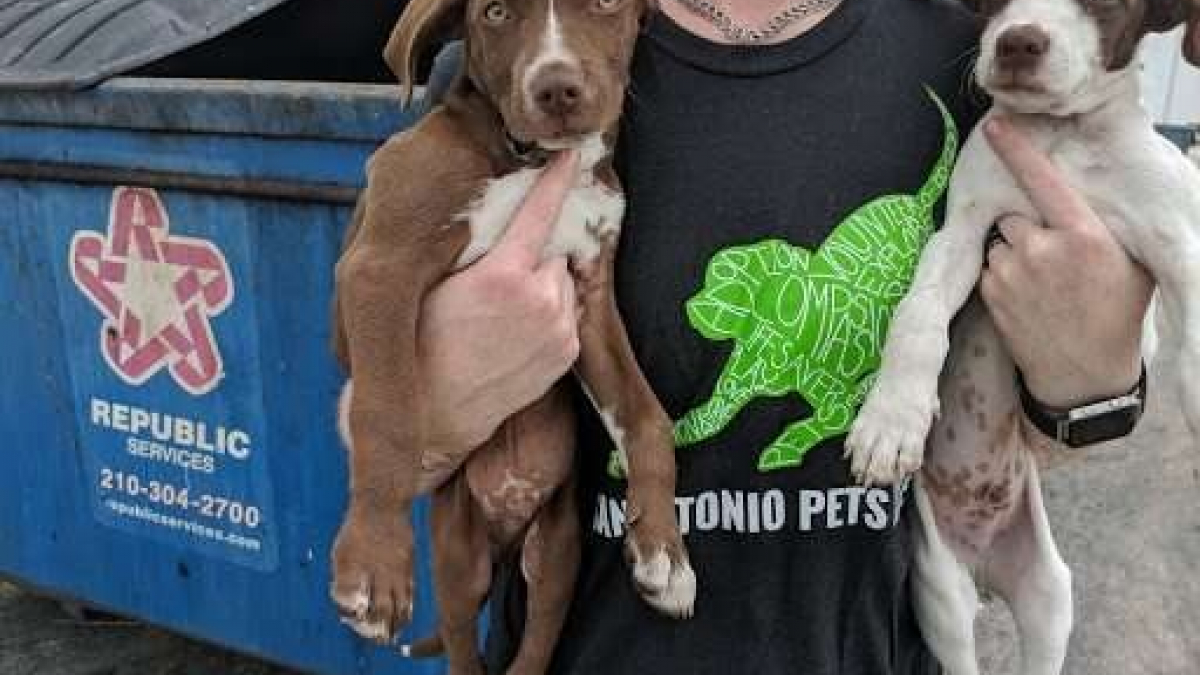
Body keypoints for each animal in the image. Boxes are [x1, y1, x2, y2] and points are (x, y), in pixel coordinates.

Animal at [333, 1, 700, 667]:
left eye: (606, 6)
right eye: (497, 12)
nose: (555, 88)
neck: (537, 164)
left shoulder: (590, 305)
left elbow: (645, 416)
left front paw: (665, 552)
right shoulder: (377, 269)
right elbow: (387, 411)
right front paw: (374, 564)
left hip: (554, 556)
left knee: (532, 648)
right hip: (457, 557)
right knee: (461, 645)